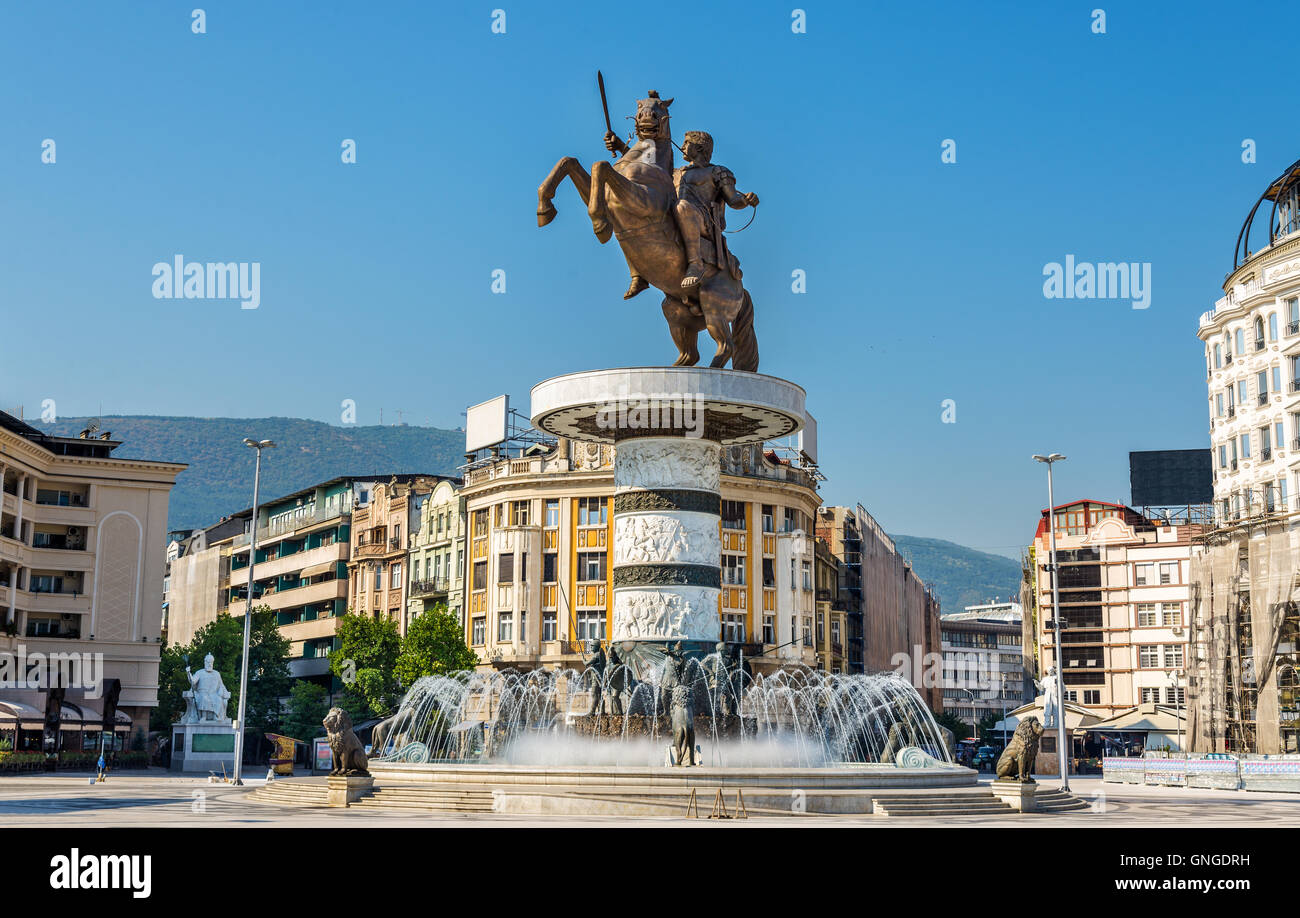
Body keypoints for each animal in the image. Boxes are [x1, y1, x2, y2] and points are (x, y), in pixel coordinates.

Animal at [538, 89, 759, 369]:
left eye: (661, 107)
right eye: (639, 105)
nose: (645, 117)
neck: (646, 161)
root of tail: (739, 285)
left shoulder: (641, 201)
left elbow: (601, 166)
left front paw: (599, 223)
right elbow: (570, 162)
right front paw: (545, 207)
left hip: (714, 309)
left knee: (725, 345)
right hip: (677, 311)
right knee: (691, 353)